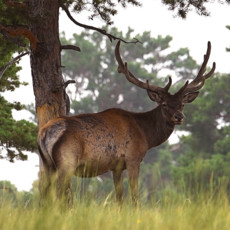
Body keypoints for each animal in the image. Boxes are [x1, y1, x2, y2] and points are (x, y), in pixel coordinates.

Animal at [37, 40, 216, 206]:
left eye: (182, 104)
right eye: (164, 104)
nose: (179, 117)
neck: (145, 135)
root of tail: (44, 133)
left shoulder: (116, 167)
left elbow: (119, 198)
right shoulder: (133, 158)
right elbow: (135, 196)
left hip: (46, 164)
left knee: (44, 193)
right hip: (67, 161)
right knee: (58, 193)